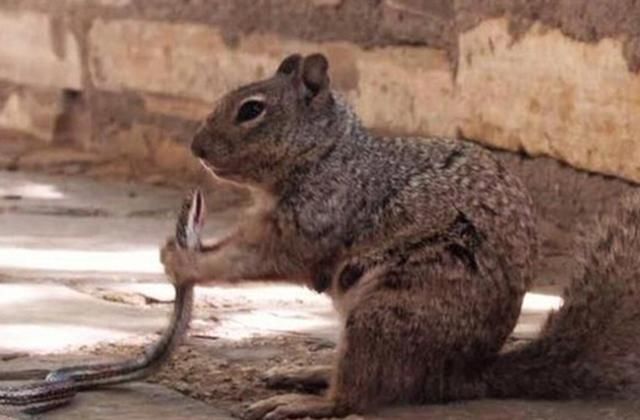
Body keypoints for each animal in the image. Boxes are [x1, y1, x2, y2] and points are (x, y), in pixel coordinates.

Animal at [161, 53, 640, 420]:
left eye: (251, 110)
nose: (195, 148)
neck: (326, 155)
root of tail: (465, 374)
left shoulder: (317, 218)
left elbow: (257, 257)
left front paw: (183, 261)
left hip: (387, 312)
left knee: (359, 394)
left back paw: (304, 402)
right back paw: (307, 370)